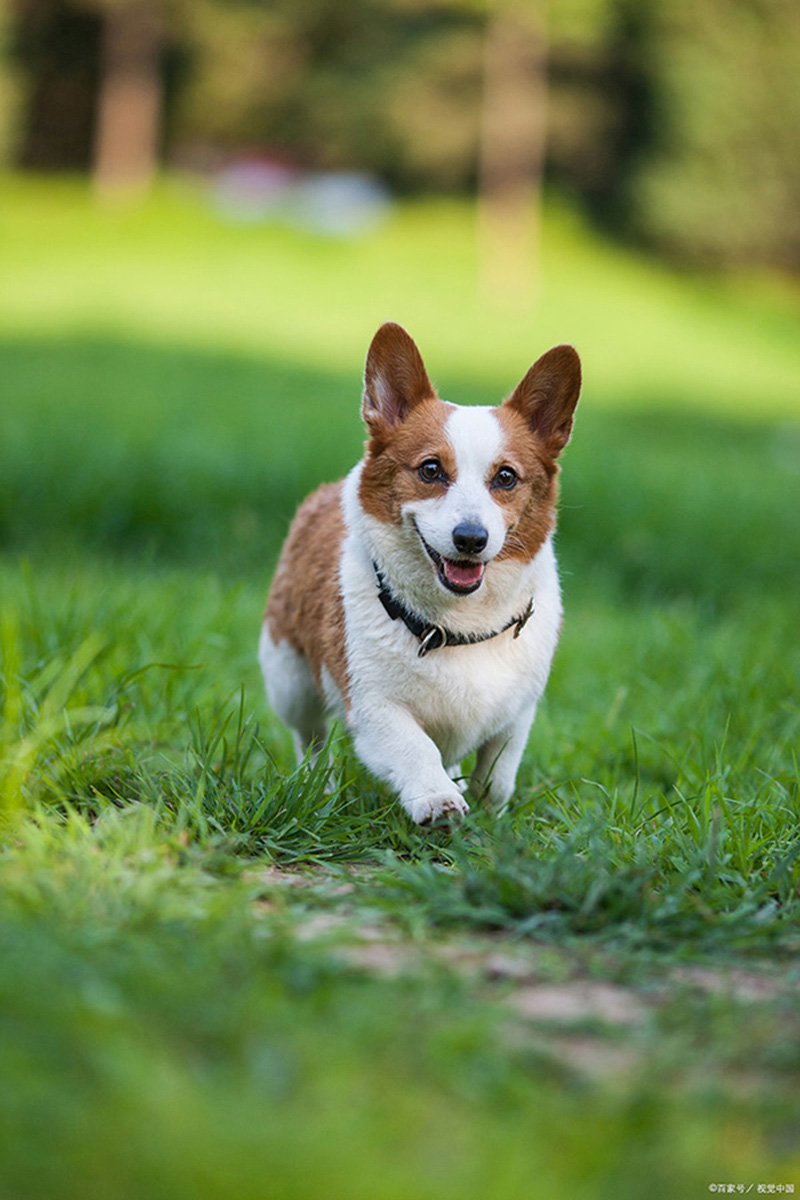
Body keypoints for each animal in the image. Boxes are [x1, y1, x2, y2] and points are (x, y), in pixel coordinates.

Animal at [262, 321, 582, 825]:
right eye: (431, 470)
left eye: (506, 477)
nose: (470, 538)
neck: (459, 623)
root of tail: (325, 492)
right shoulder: (374, 706)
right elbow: (416, 749)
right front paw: (437, 800)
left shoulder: (518, 714)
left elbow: (498, 775)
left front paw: (485, 811)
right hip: (289, 678)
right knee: (309, 739)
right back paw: (316, 787)